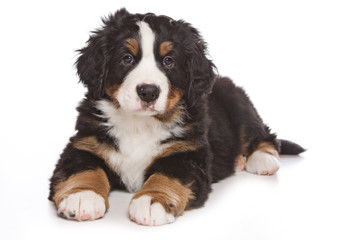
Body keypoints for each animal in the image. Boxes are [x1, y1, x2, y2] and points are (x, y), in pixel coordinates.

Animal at [49, 8, 306, 226]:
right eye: (127, 58)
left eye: (168, 61)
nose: (148, 91)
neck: (140, 124)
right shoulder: (85, 142)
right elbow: (83, 168)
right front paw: (82, 196)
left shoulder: (187, 153)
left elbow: (168, 175)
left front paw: (152, 200)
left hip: (239, 103)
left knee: (265, 134)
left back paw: (261, 159)